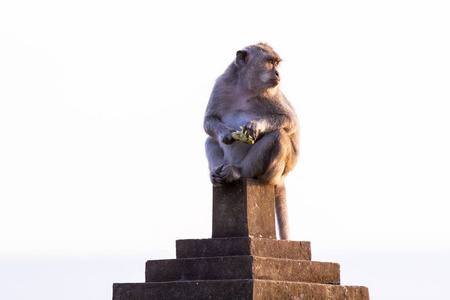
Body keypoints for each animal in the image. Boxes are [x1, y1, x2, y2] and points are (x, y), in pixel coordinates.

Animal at [204, 43, 298, 240]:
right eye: (270, 62)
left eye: (276, 63)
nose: (278, 74)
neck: (245, 88)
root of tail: (281, 178)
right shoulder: (220, 85)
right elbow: (209, 121)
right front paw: (226, 134)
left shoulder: (273, 94)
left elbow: (290, 121)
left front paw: (256, 125)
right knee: (210, 140)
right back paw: (216, 174)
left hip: (274, 174)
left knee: (277, 137)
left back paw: (239, 173)